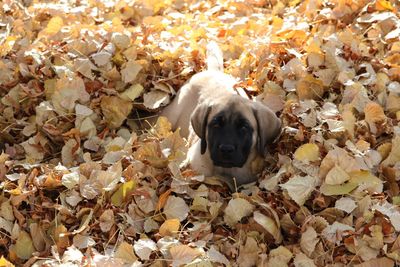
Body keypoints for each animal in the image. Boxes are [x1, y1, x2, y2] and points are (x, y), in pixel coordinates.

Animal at [160, 41, 282, 188]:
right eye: (216, 125)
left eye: (244, 127)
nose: (226, 149)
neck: (227, 171)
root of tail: (214, 71)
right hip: (170, 114)